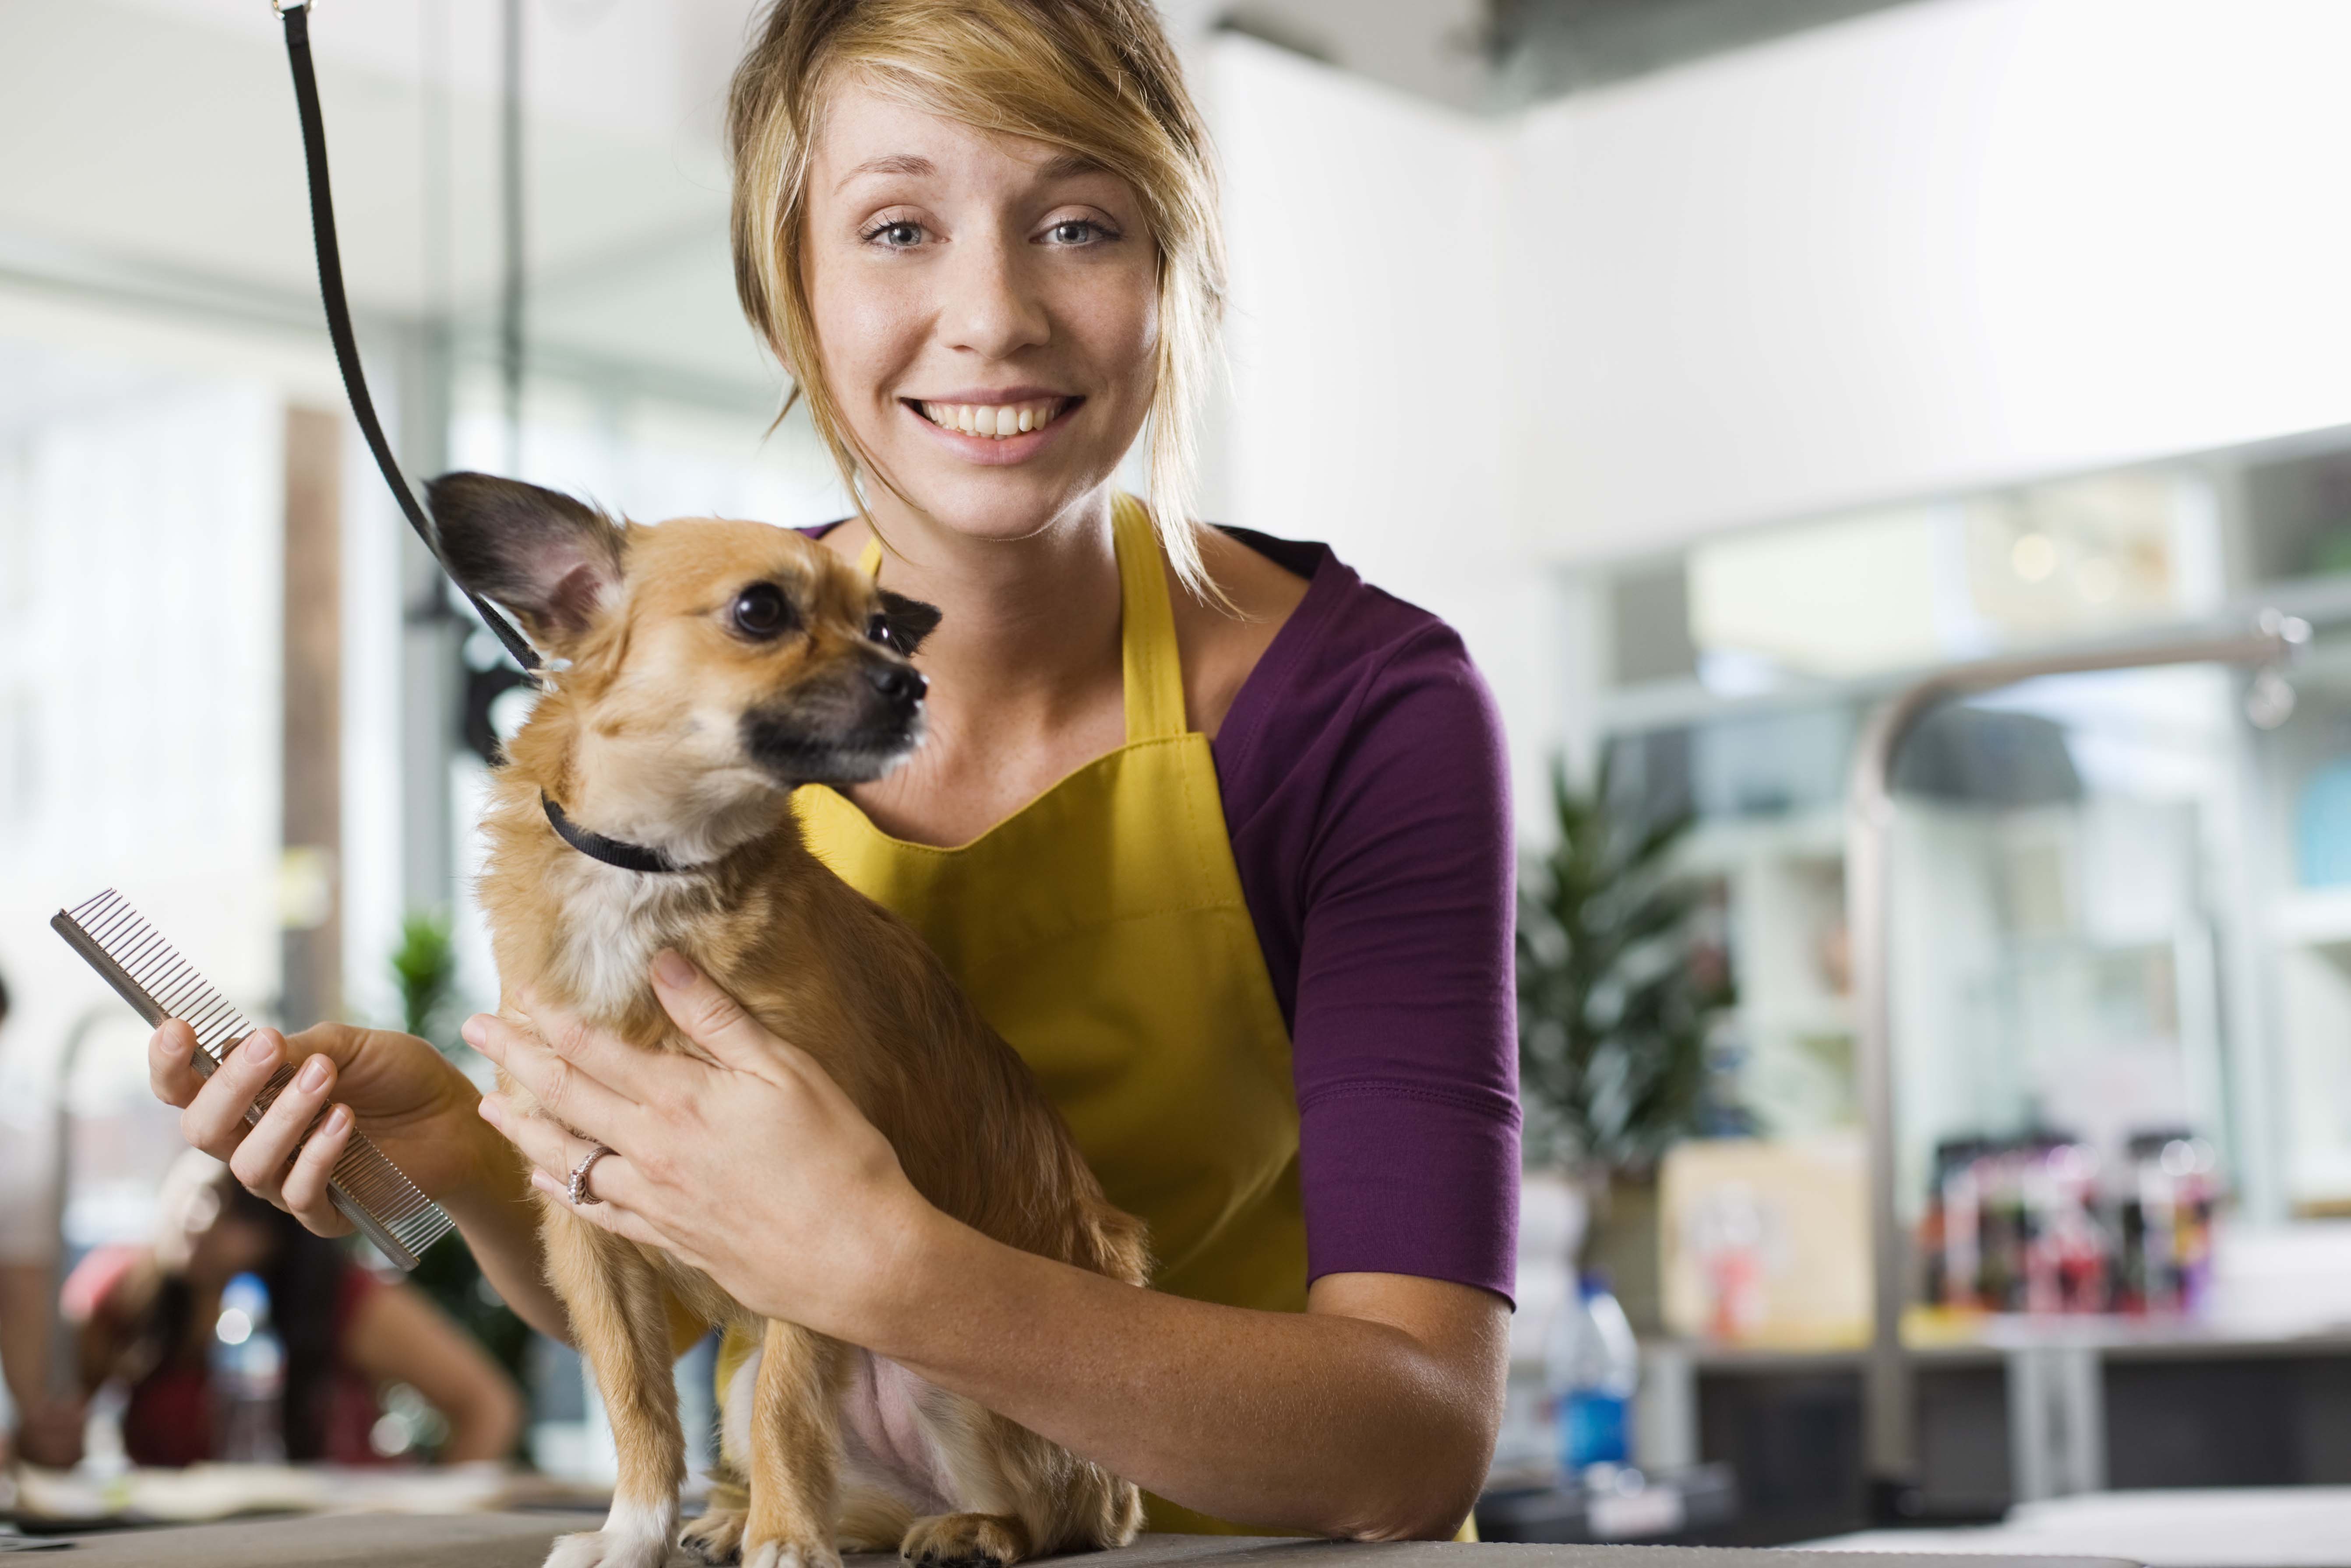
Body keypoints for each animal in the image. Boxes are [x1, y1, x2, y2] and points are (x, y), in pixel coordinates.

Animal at [435, 472, 1156, 1568]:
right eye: (760, 611)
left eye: (883, 629)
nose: (913, 683)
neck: (651, 875)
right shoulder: (585, 1230)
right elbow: (636, 1401)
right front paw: (634, 1528)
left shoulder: (797, 1227)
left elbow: (787, 1402)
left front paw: (785, 1539)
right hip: (750, 1389)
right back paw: (738, 1517)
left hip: (959, 1379)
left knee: (1053, 1515)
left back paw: (954, 1524)